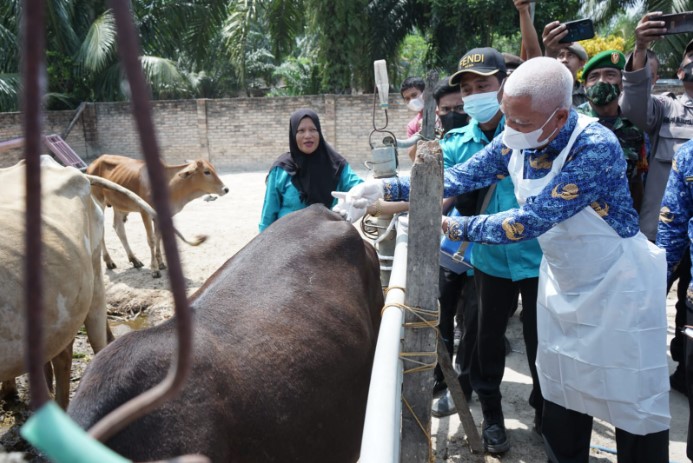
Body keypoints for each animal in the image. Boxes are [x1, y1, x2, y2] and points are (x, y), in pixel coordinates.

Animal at [88, 156, 228, 278]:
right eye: (206, 172)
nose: (226, 189)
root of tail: (94, 163)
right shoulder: (144, 212)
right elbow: (151, 240)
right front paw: (154, 269)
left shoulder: (161, 216)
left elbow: (158, 237)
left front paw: (161, 264)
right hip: (99, 202)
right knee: (100, 230)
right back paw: (109, 261)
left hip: (118, 206)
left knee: (119, 228)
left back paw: (134, 259)